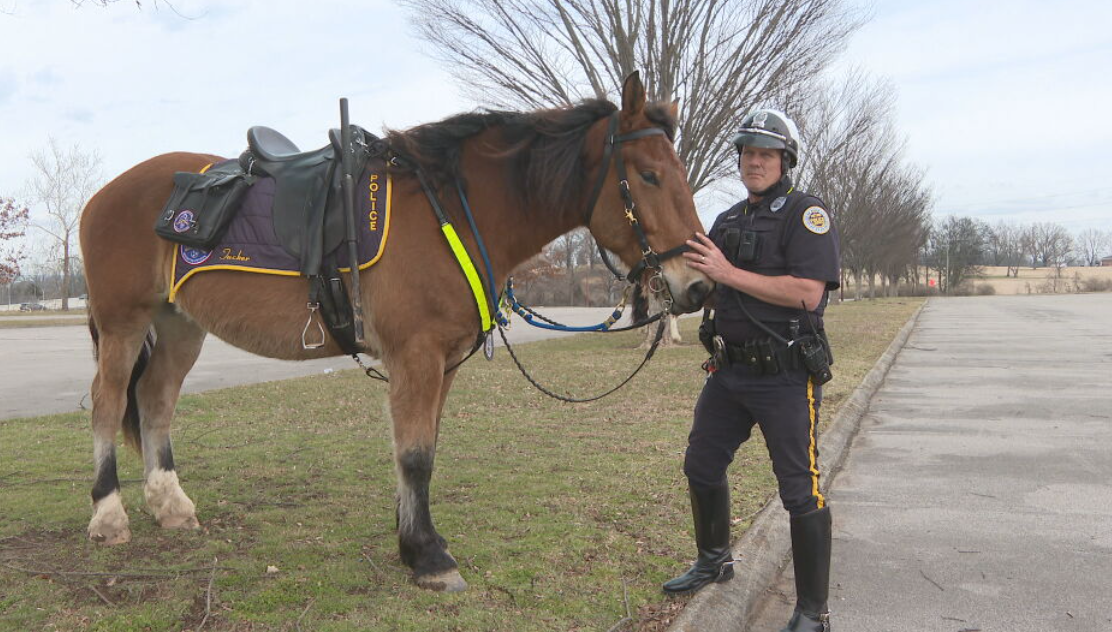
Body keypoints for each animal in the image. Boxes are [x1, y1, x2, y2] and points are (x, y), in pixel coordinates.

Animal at [78, 72, 712, 592]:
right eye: (649, 175)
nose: (699, 286)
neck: (451, 211)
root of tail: (105, 193)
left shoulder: (444, 362)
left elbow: (425, 445)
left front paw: (415, 539)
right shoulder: (417, 356)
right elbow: (415, 455)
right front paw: (428, 556)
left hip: (179, 325)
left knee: (155, 399)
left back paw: (170, 504)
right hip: (123, 322)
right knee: (108, 403)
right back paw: (109, 515)